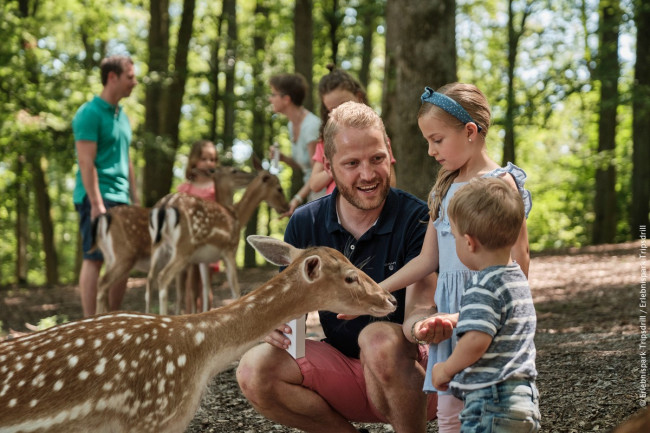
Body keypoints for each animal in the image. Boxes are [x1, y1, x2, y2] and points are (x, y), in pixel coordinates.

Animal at [148, 169, 290, 314]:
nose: (286, 206)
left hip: (157, 246)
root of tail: (164, 205)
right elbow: (235, 289)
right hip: (184, 247)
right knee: (163, 277)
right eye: (279, 188)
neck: (237, 216)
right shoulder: (230, 250)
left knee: (150, 279)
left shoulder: (203, 259)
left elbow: (206, 289)